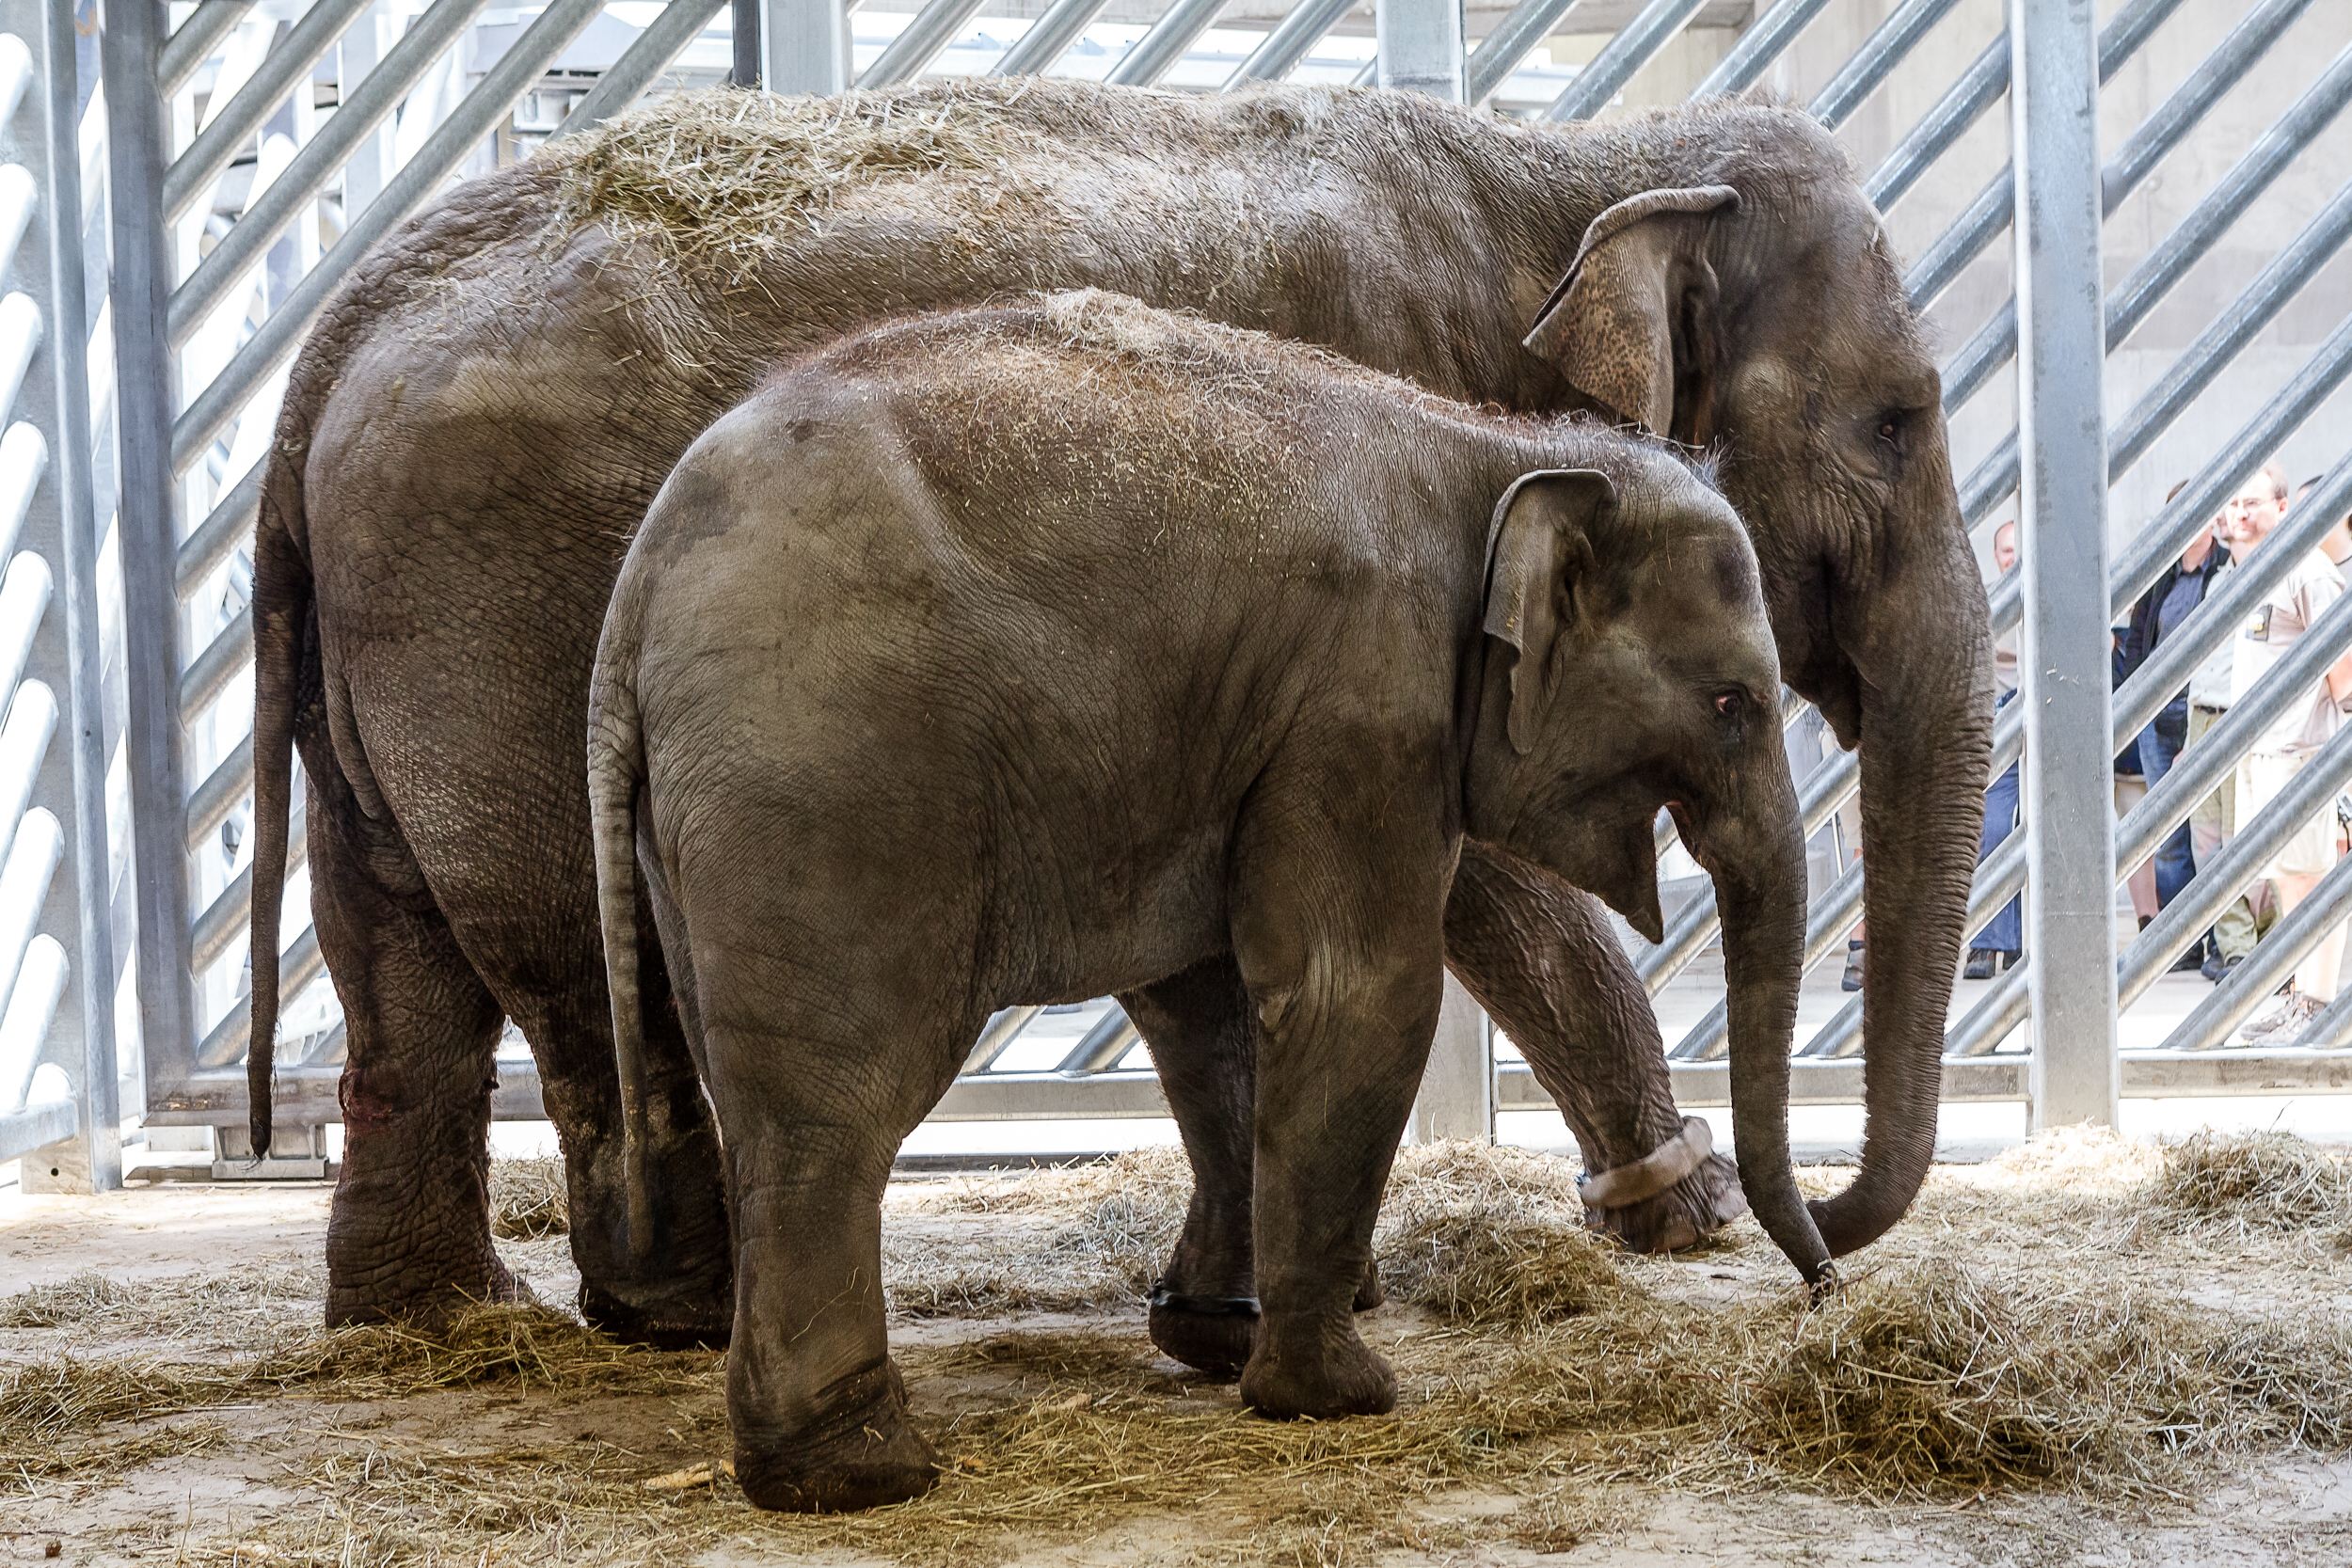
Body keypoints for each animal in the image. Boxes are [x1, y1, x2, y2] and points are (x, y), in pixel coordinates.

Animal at [247, 76, 1994, 1354]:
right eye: (1898, 425)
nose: (1825, 1242)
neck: (1575, 160)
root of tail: (331, 337)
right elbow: (1466, 875)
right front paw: (1678, 1215)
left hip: (390, 654)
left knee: (396, 942)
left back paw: (432, 1321)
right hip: (503, 614)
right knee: (575, 944)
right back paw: (672, 1309)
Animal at [583, 288, 1816, 1513]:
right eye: (1732, 704)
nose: (1819, 1287)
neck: (1497, 450)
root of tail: (634, 597)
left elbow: (1210, 1008)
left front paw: (1218, 1338)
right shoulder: (1364, 703)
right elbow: (1355, 993)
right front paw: (1338, 1394)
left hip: (700, 821)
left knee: (757, 1092)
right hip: (832, 782)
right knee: (834, 1105)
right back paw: (857, 1471)